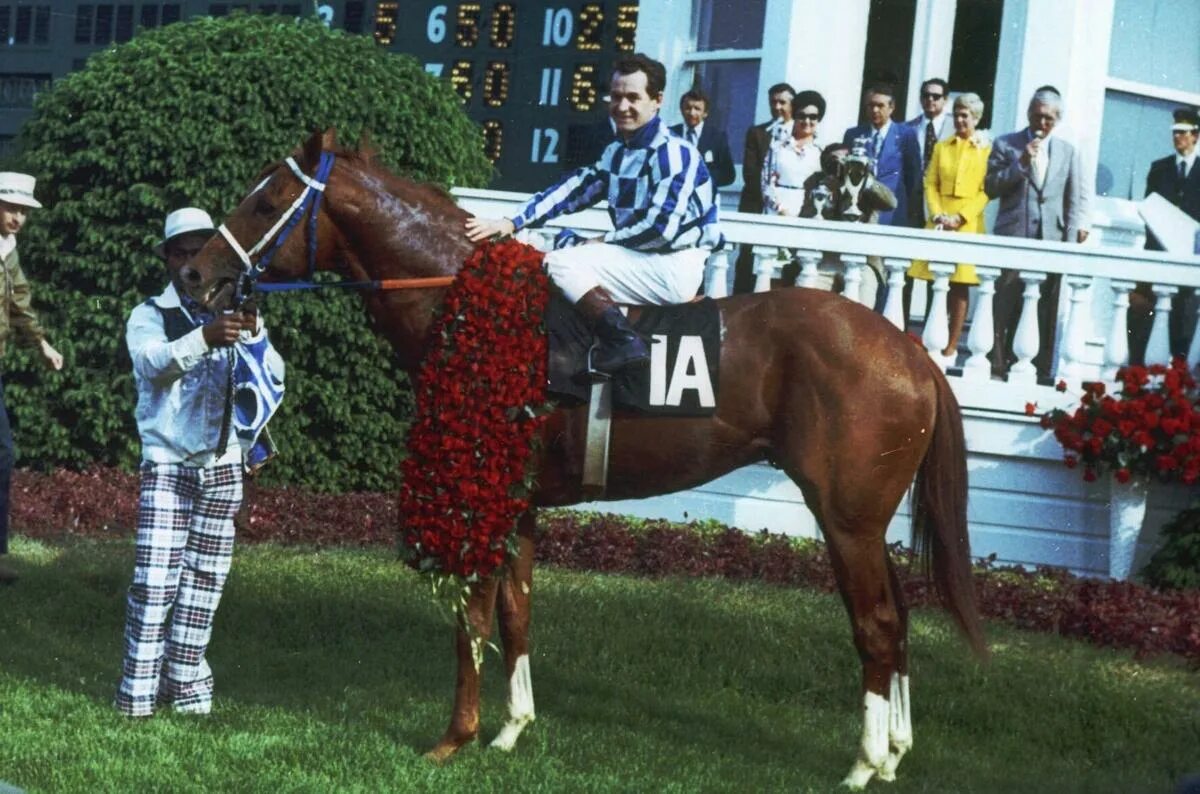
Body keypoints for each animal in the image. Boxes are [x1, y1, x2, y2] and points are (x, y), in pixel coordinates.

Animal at [177, 130, 984, 791]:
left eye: (265, 200)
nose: (193, 275)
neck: (468, 306)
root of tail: (911, 348)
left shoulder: (480, 491)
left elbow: (471, 616)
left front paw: (453, 739)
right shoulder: (524, 501)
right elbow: (516, 612)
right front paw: (510, 731)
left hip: (847, 518)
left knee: (876, 624)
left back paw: (864, 762)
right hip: (868, 522)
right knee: (900, 620)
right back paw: (896, 752)